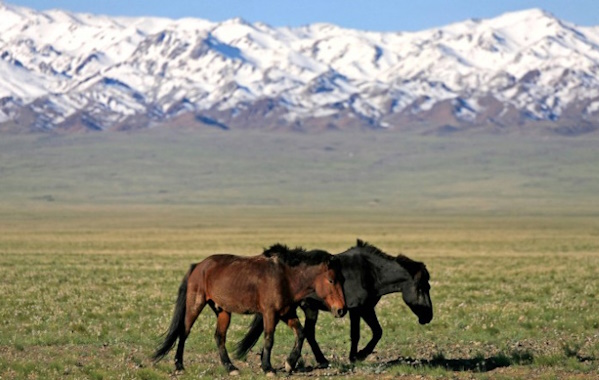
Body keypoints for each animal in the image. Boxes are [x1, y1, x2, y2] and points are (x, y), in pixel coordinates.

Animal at [152, 246, 344, 374]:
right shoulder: (270, 313)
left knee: (219, 337)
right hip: (195, 304)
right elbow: (269, 339)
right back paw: (179, 366)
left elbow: (301, 333)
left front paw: (289, 363)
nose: (341, 310)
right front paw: (268, 368)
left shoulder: (286, 313)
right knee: (184, 332)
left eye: (340, 279)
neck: (286, 277)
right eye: (331, 280)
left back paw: (230, 368)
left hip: (222, 311)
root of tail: (198, 266)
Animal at [233, 239, 432, 366]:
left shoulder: (366, 308)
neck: (371, 272)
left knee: (308, 333)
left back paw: (320, 360)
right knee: (306, 333)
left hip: (309, 308)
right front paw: (356, 356)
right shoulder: (357, 309)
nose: (428, 317)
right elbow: (358, 334)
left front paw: (358, 355)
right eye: (421, 288)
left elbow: (377, 331)